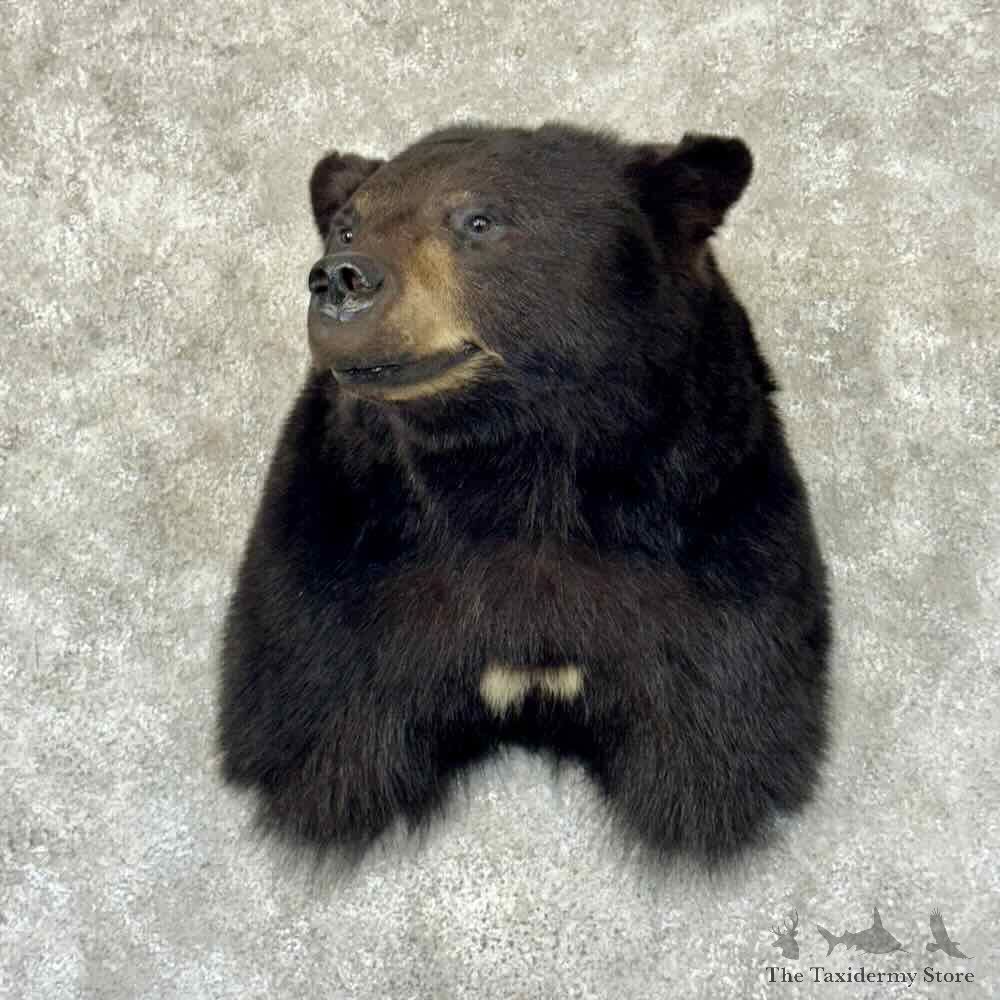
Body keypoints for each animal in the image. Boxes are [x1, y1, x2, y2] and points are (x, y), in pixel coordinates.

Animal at [217, 122, 831, 867]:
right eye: (346, 226)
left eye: (479, 221)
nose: (341, 277)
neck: (515, 466)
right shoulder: (336, 560)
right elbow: (306, 706)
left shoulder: (717, 548)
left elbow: (730, 722)